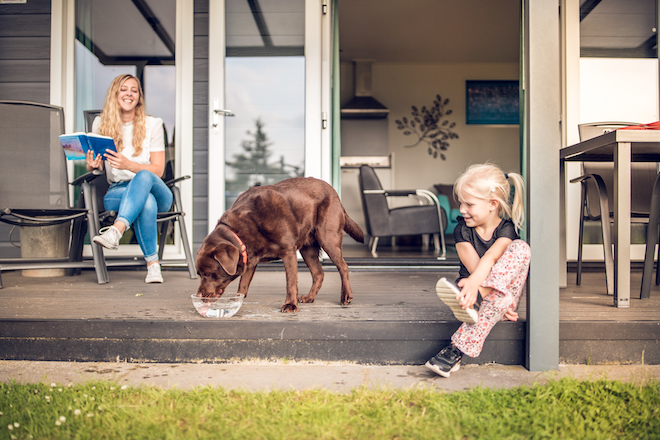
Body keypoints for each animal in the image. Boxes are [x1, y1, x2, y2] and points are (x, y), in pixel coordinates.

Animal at [196, 176, 366, 312]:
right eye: (199, 274)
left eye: (207, 274)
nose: (198, 296)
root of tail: (335, 193)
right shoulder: (250, 258)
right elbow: (243, 283)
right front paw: (238, 300)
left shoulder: (288, 251)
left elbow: (290, 282)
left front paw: (290, 305)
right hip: (307, 249)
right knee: (318, 273)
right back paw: (310, 297)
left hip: (328, 237)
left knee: (343, 266)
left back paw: (346, 296)